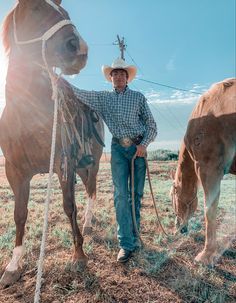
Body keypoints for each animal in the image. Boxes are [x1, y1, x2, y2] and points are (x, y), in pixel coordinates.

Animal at [0, 0, 103, 288]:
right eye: (35, 8)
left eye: (65, 12)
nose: (79, 48)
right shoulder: (15, 172)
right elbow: (19, 213)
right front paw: (13, 265)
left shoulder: (62, 164)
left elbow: (69, 207)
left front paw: (79, 255)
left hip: (92, 164)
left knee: (91, 192)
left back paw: (88, 224)